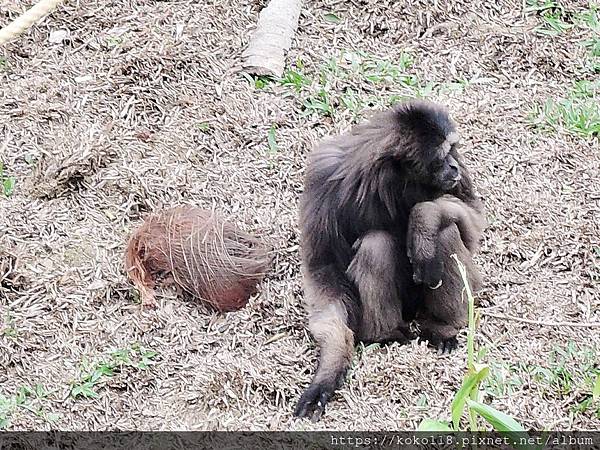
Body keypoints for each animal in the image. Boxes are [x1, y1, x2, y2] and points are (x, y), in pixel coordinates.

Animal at [296, 100, 488, 420]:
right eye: (442, 156)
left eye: (453, 149)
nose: (453, 165)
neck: (397, 181)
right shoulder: (323, 177)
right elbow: (324, 272)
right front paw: (328, 372)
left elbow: (471, 217)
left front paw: (422, 222)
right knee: (376, 244)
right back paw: (386, 334)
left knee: (447, 232)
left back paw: (441, 327)